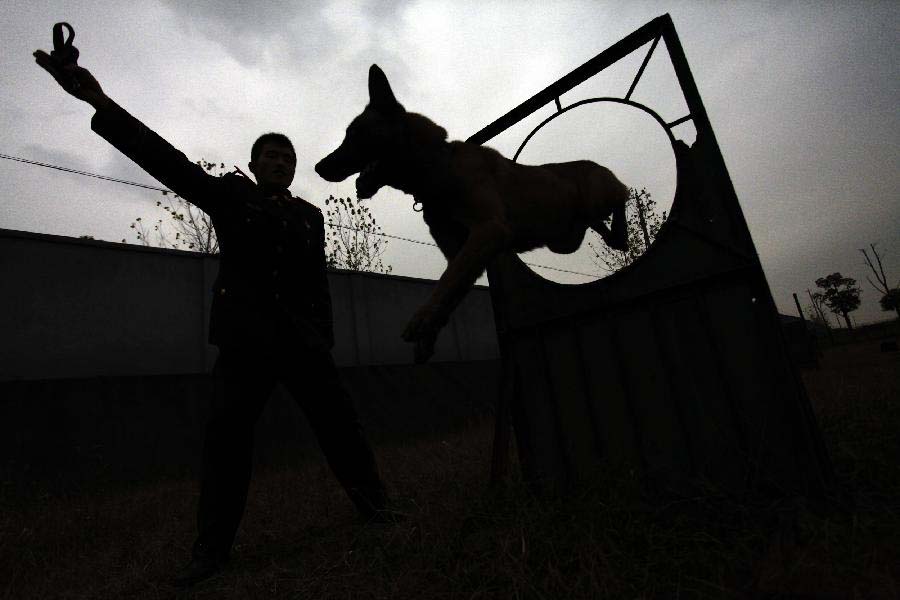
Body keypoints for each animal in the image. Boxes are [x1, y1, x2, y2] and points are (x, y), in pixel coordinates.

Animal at [318, 66, 632, 366]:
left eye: (354, 135)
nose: (318, 167)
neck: (440, 169)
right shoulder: (463, 250)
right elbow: (453, 285)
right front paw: (429, 333)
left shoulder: (488, 230)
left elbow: (448, 279)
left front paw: (422, 318)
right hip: (565, 240)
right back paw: (614, 234)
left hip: (596, 196)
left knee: (622, 194)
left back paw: (621, 228)